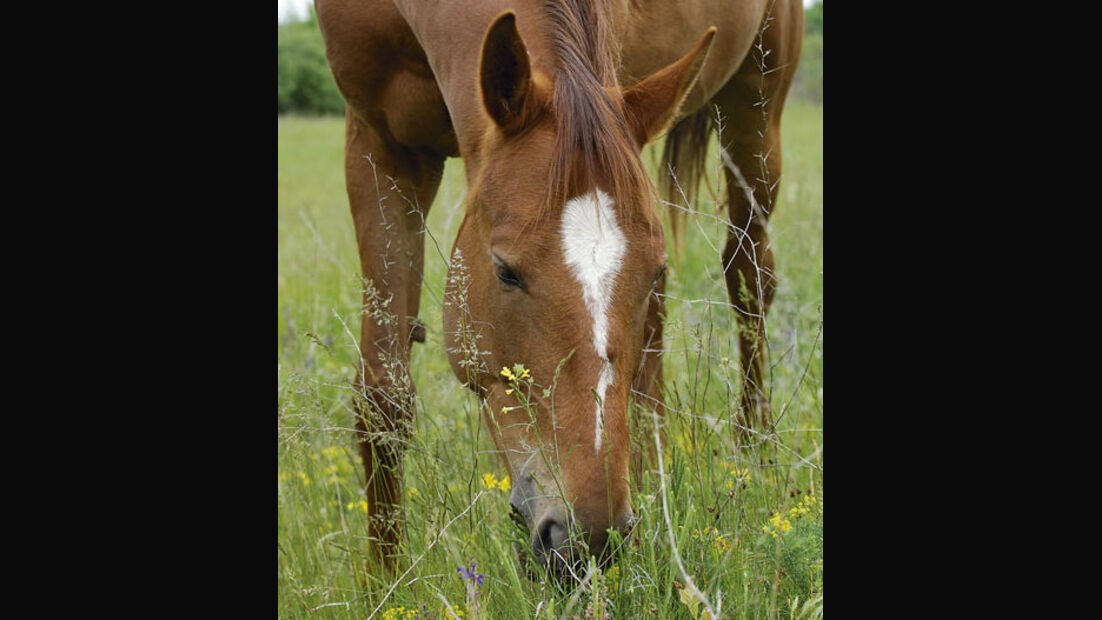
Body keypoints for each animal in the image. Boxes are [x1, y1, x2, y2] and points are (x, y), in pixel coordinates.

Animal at [315, 0, 806, 577]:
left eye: (652, 269)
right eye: (505, 270)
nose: (592, 535)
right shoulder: (380, 143)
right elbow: (382, 397)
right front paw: (387, 580)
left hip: (758, 105)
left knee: (749, 276)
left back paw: (753, 450)